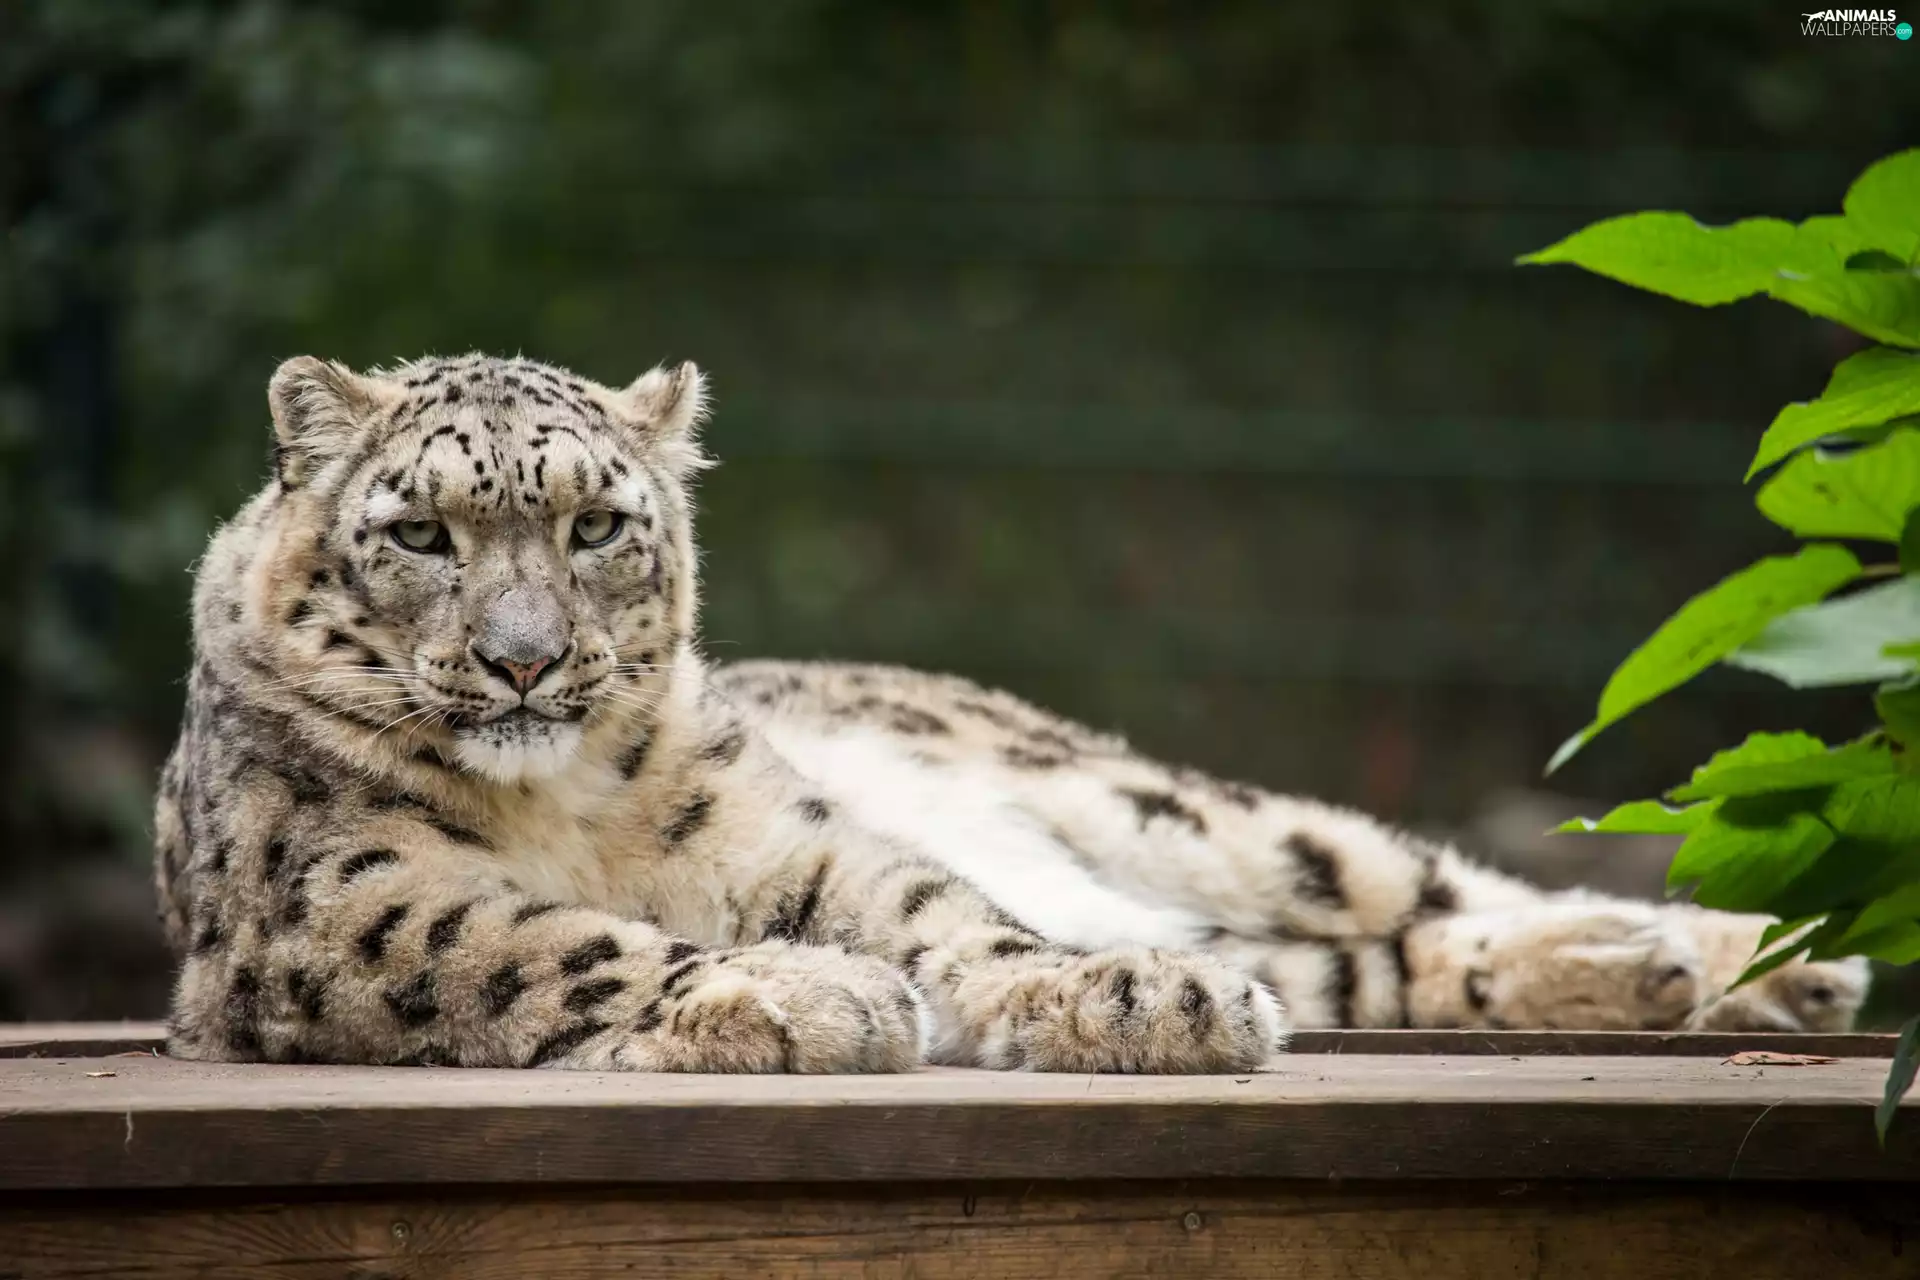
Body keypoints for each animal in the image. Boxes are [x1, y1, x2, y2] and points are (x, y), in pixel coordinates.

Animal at [152, 352, 1868, 1073]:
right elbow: (545, 939)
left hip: (1171, 810)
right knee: (1373, 962)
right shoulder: (340, 904)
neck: (557, 796)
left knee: (1409, 884)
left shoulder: (794, 844)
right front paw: (819, 1001)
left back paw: (1754, 959)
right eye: (422, 534)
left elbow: (944, 915)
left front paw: (1130, 1004)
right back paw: (1653, 970)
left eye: (592, 525)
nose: (521, 663)